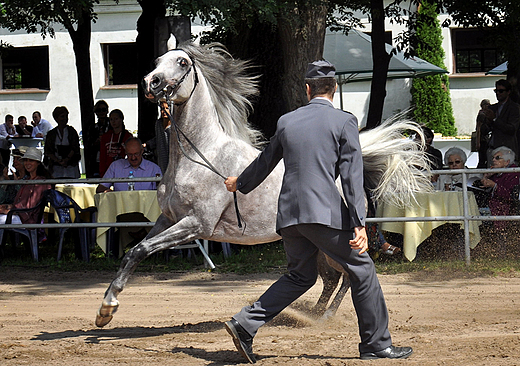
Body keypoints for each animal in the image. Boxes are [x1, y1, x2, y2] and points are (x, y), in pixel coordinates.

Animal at [95, 41, 428, 328]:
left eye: (182, 62)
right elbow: (133, 253)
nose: (150, 82)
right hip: (317, 246)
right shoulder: (168, 220)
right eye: (157, 61)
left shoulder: (196, 224)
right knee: (333, 279)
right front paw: (104, 311)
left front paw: (108, 309)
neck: (199, 155)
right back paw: (311, 314)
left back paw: (324, 318)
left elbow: (140, 250)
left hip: (337, 242)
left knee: (347, 276)